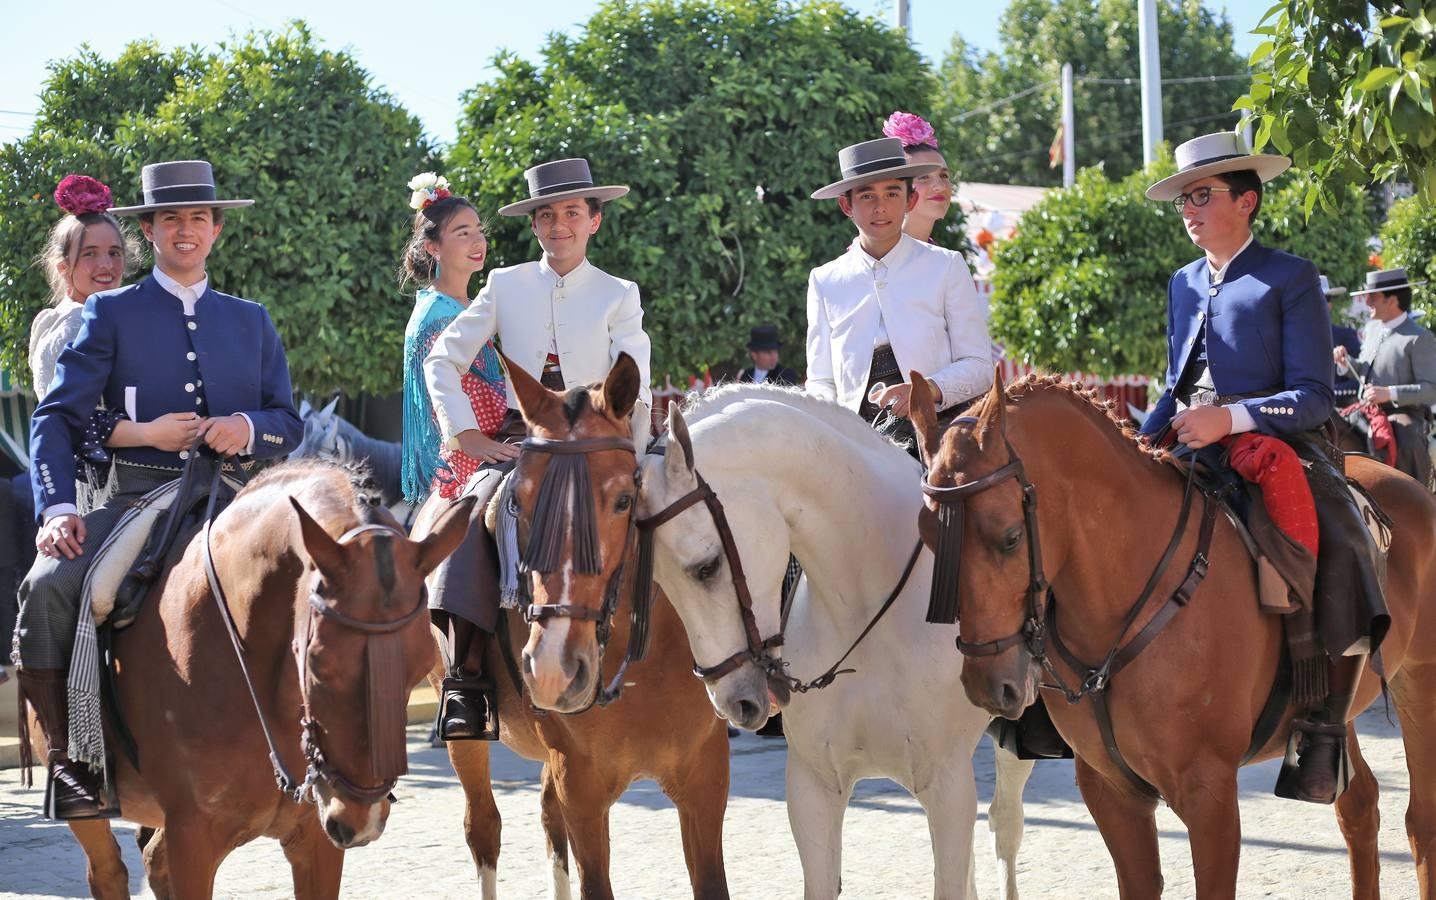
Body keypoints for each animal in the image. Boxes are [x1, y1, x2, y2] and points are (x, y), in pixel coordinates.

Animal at [36, 462, 473, 895]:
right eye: (317, 663)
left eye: (421, 664)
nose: (360, 819)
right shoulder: (193, 837)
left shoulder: (314, 839)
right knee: (107, 870)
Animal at [413, 354, 729, 900]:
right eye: (518, 502)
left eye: (625, 499)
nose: (553, 669)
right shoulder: (582, 784)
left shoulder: (706, 779)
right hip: (464, 733)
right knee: (483, 827)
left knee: (546, 818)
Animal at [634, 387, 1028, 900]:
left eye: (707, 567)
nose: (735, 703)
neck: (867, 608)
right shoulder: (813, 788)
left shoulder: (949, 785)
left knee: (1005, 825)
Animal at [907, 370, 1436, 895]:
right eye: (929, 537)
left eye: (1011, 537)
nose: (990, 686)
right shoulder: (1111, 792)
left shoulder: (1209, 796)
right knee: (1360, 806)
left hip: (1418, 684)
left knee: (1419, 821)